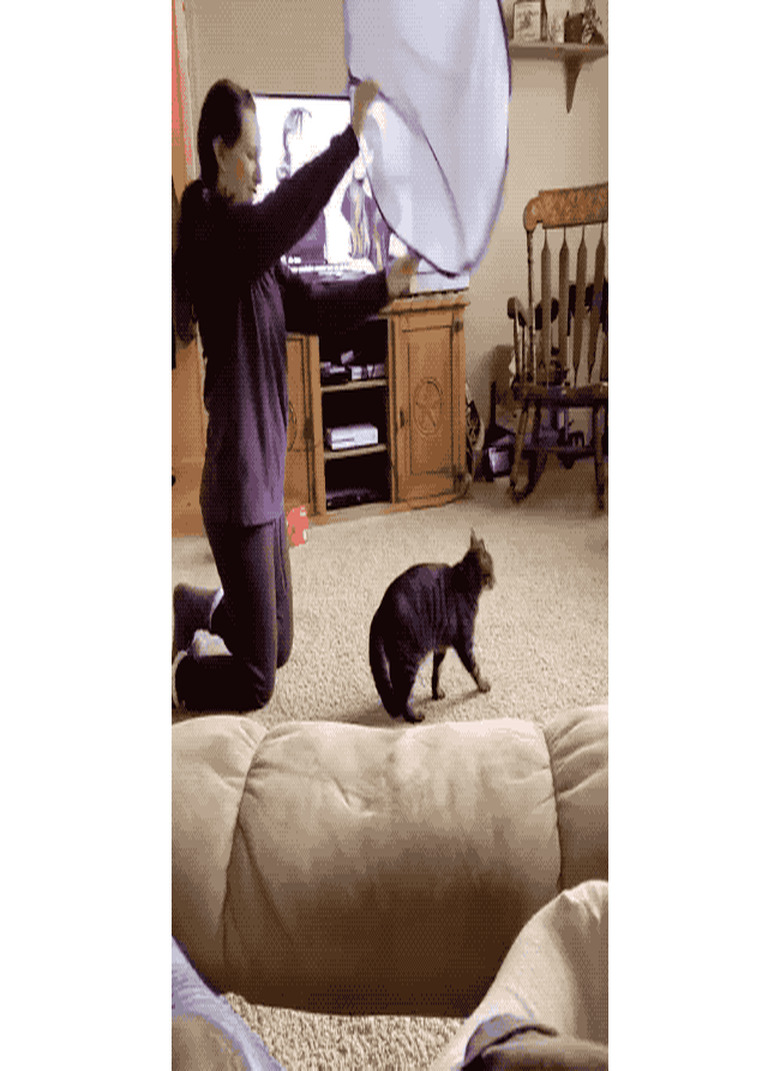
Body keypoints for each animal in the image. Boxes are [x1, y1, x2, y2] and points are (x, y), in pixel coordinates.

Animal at [370, 531, 492, 723]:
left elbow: (436, 672)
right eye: (492, 568)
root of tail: (380, 610)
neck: (464, 581)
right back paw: (413, 716)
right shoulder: (464, 642)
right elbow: (474, 668)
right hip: (408, 661)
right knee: (401, 694)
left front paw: (436, 693)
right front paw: (483, 685)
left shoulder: (440, 646)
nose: (495, 581)